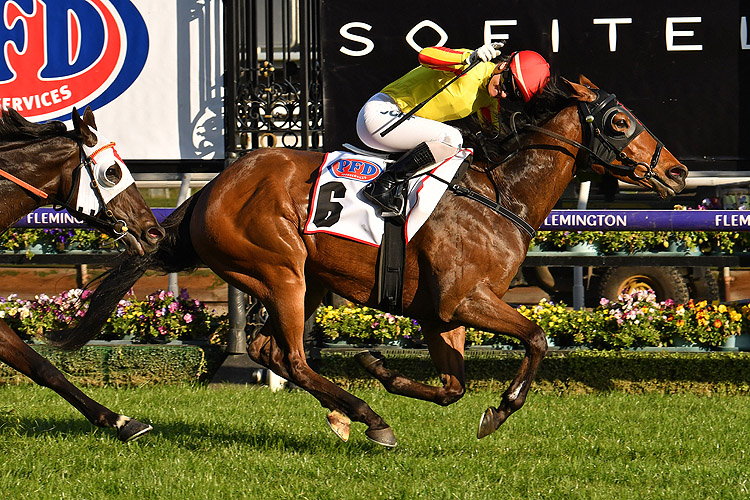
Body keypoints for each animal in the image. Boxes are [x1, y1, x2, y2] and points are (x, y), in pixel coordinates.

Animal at [61, 77, 692, 446]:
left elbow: (453, 386)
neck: (499, 197)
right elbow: (536, 339)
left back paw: (350, 413)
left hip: (304, 280)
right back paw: (369, 419)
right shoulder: (464, 299)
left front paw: (380, 366)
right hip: (281, 271)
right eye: (618, 122)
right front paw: (500, 409)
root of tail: (211, 189)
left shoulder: (441, 315)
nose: (679, 170)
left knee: (272, 351)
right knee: (291, 356)